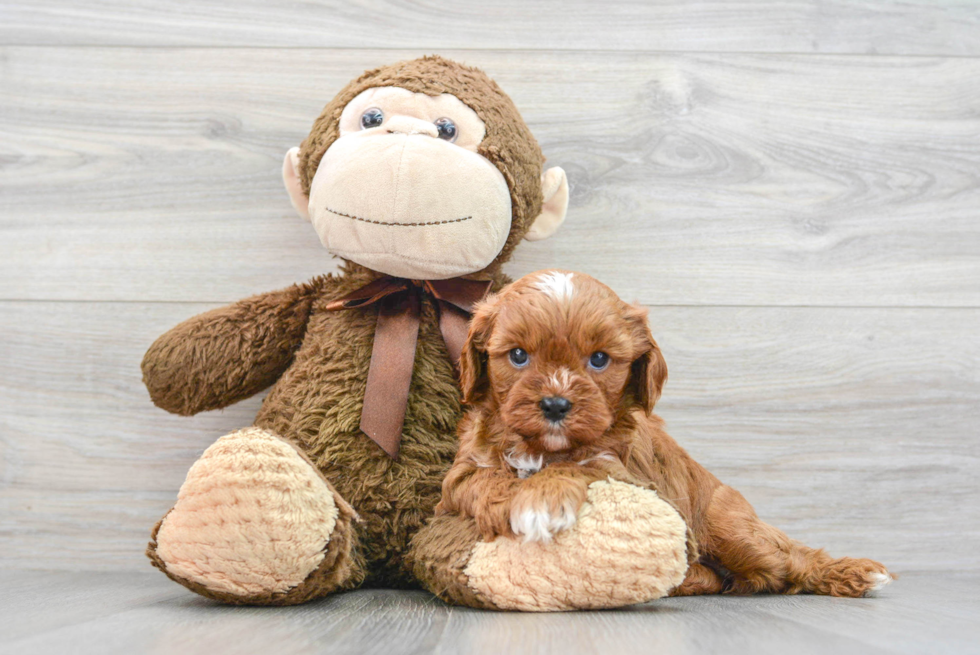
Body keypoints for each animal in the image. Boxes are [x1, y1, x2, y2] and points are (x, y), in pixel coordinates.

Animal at [440, 270, 892, 596]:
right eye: (518, 355)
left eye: (599, 359)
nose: (554, 405)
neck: (541, 448)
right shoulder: (460, 474)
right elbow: (484, 480)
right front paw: (528, 499)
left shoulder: (626, 474)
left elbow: (580, 465)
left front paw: (541, 498)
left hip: (734, 532)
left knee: (789, 560)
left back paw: (850, 573)